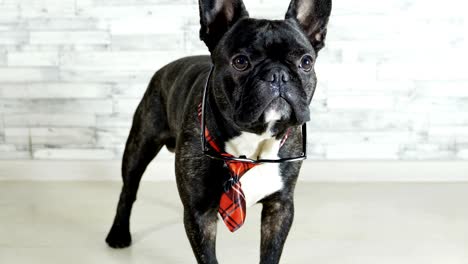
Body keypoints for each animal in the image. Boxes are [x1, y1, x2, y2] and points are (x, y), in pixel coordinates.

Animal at [106, 0, 332, 262]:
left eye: (306, 62)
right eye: (241, 62)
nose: (278, 74)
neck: (252, 143)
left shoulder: (280, 207)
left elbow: (270, 252)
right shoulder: (200, 213)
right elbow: (208, 256)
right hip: (141, 144)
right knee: (128, 190)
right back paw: (118, 233)